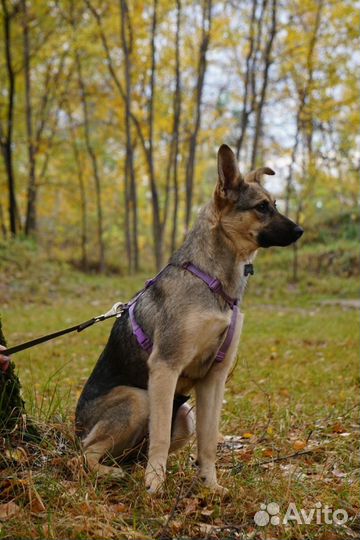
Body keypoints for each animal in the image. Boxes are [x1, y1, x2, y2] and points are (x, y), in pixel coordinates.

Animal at [76, 143, 304, 494]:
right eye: (262, 207)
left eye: (275, 205)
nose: (300, 230)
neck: (212, 281)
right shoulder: (165, 367)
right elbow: (158, 436)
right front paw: (155, 486)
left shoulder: (214, 378)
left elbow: (208, 441)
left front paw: (210, 484)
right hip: (138, 399)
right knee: (86, 453)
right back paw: (113, 473)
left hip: (184, 417)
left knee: (133, 453)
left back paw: (134, 468)